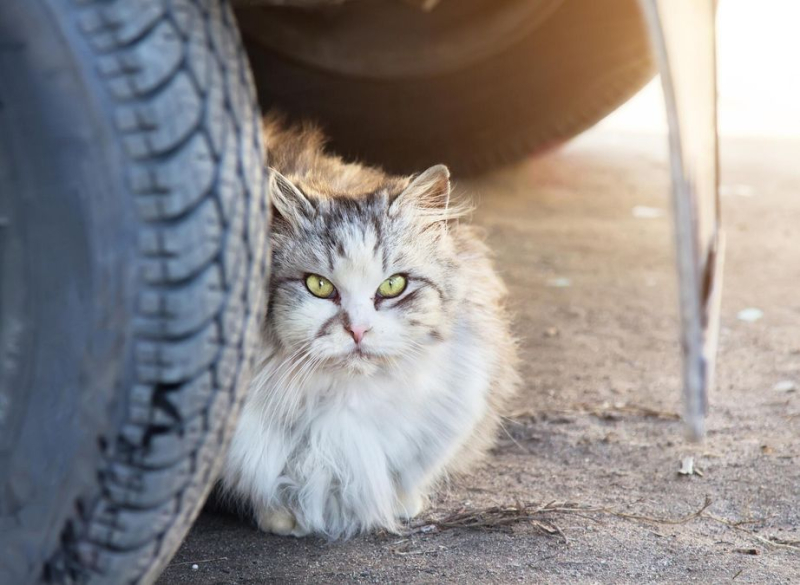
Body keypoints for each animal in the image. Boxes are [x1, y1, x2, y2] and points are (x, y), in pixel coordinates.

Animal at [220, 114, 520, 540]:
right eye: (319, 286)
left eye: (393, 286)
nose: (358, 331)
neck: (348, 399)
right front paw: (282, 519)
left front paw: (405, 504)